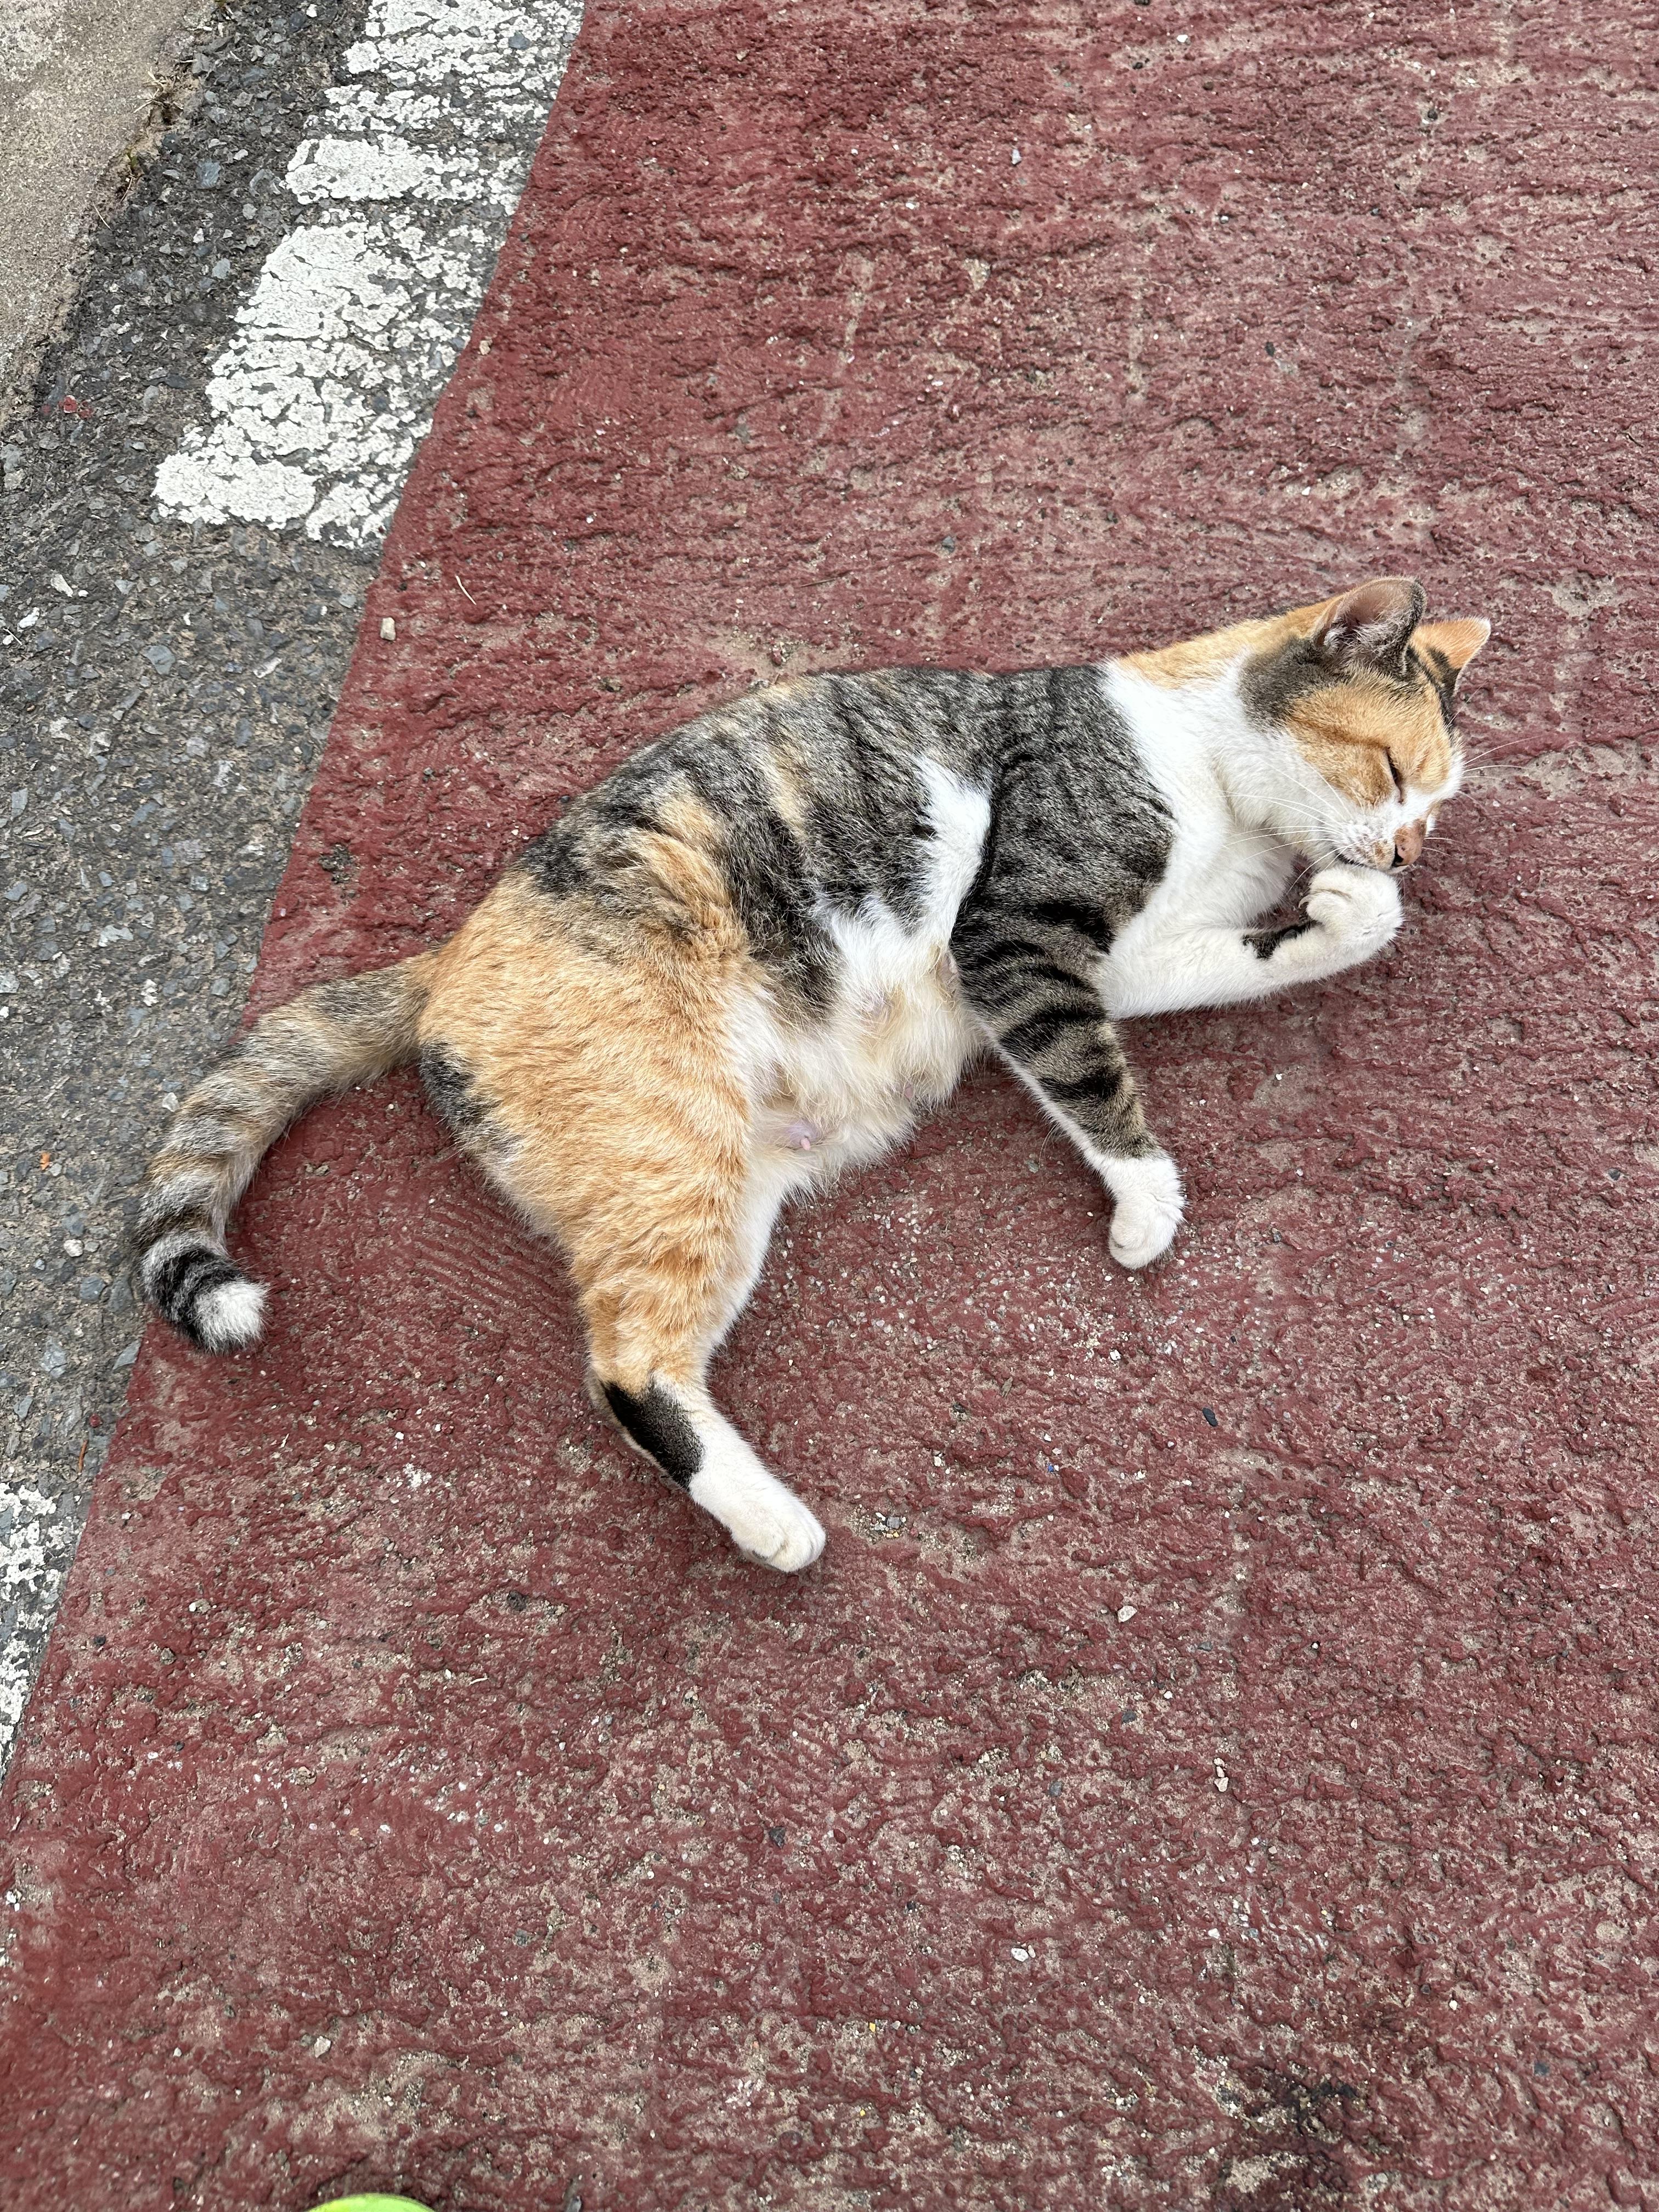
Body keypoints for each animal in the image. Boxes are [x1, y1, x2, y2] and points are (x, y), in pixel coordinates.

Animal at [134, 575, 1488, 1571]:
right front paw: (1147, 1206)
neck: (1202, 766)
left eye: (1434, 804)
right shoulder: (1015, 938)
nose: (1408, 854)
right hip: (672, 1146)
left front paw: (1349, 911)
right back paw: (778, 1527)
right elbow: (1091, 1082)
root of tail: (447, 959)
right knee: (625, 1369)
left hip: (722, 1195)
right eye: (1391, 769)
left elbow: (1243, 962)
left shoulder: (1134, 960)